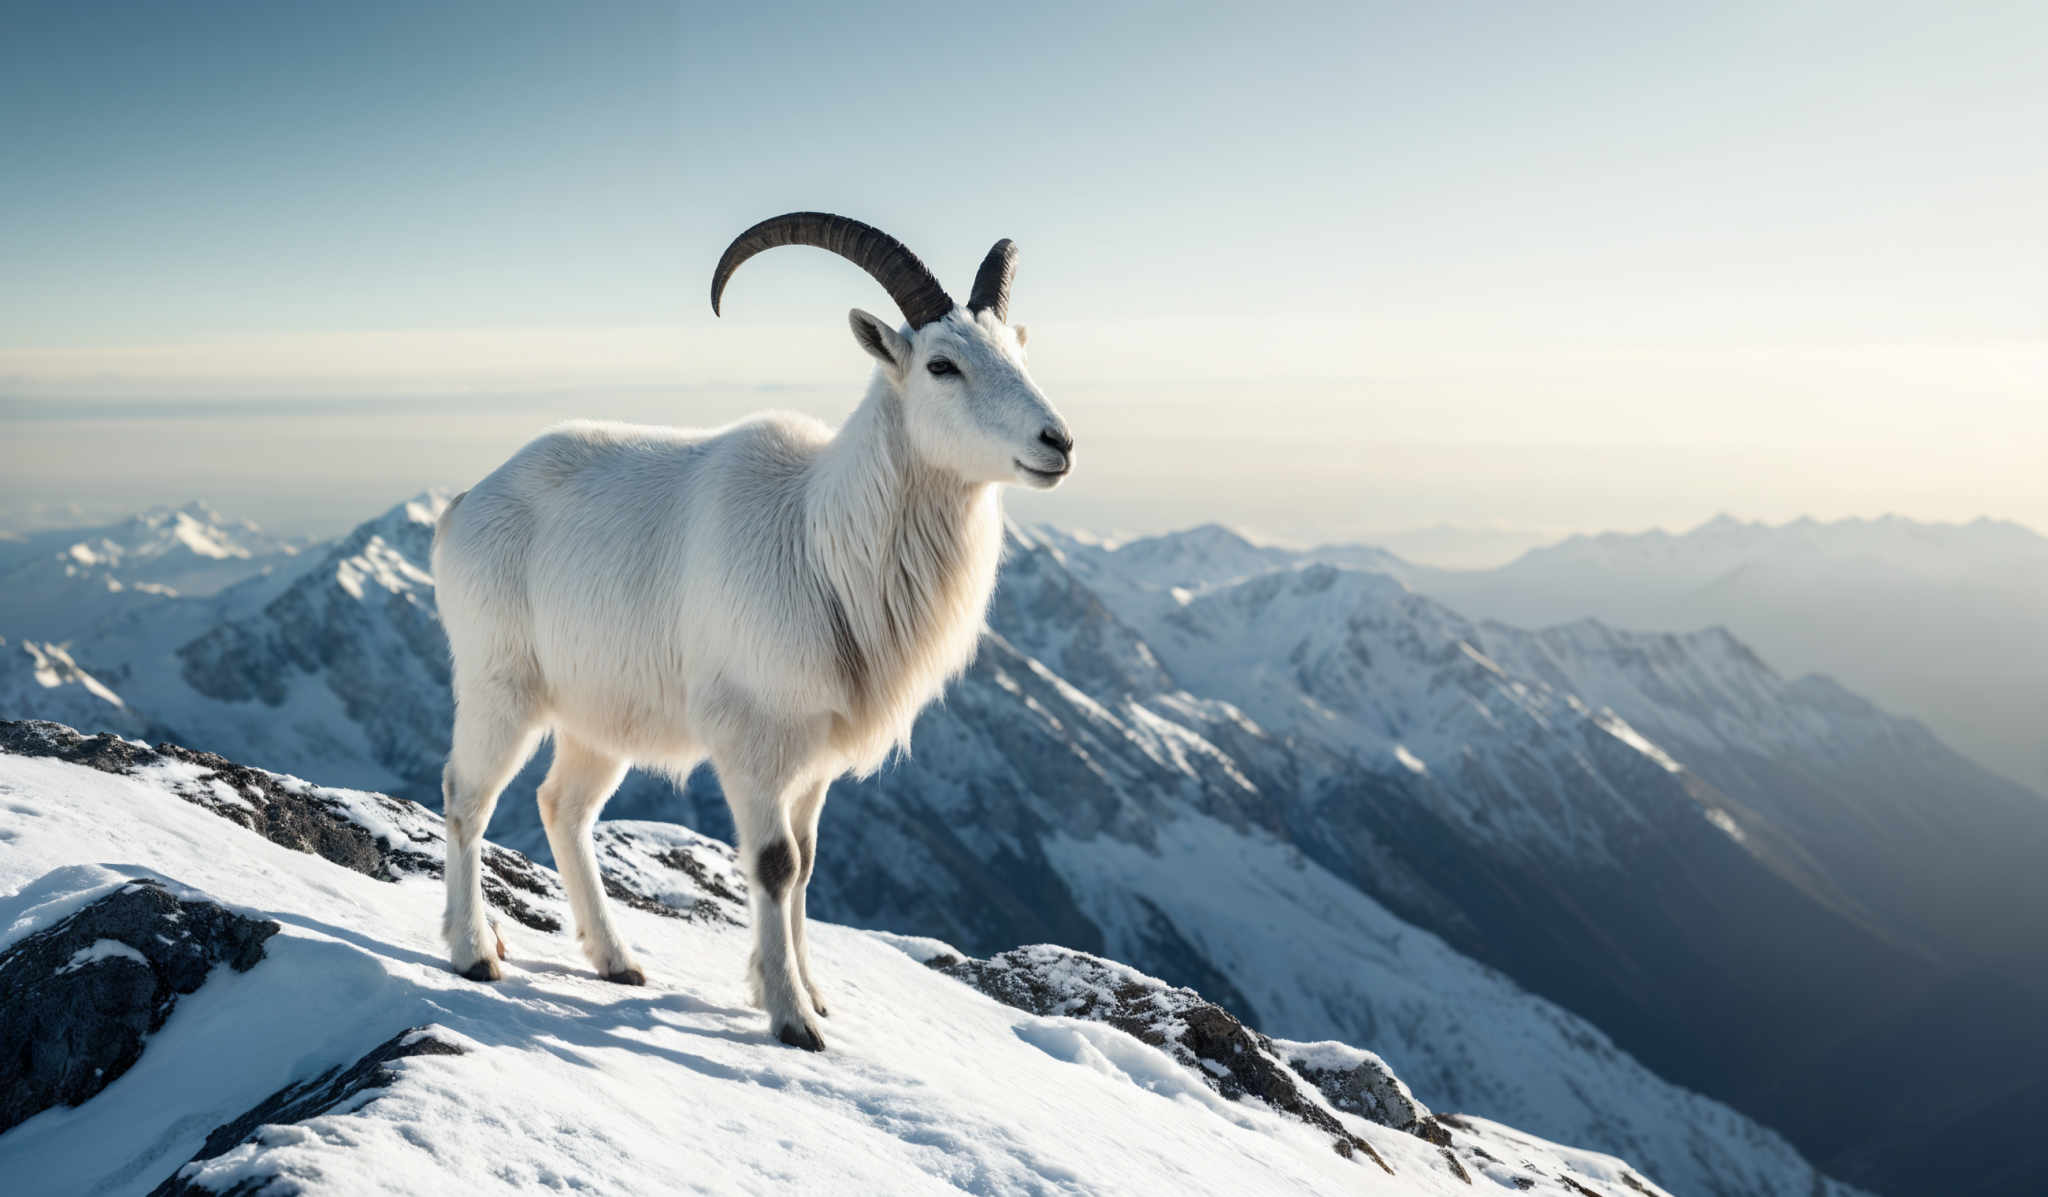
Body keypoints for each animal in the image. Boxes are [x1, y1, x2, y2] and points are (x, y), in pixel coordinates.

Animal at [432, 213, 1073, 1049]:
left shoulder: (814, 763)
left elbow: (804, 865)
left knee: (562, 807)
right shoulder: (753, 745)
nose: (1057, 442)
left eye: (1017, 351)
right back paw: (475, 951)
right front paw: (792, 1018)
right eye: (942, 365)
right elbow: (772, 863)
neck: (821, 543)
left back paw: (616, 959)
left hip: (599, 720)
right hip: (499, 690)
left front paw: (813, 994)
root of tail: (465, 505)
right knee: (466, 797)